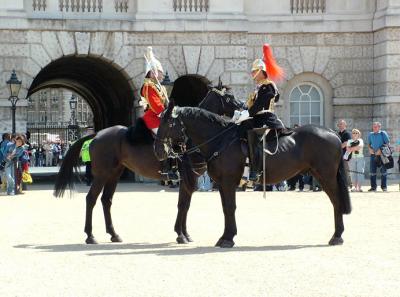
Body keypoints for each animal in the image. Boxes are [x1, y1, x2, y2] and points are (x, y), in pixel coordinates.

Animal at [53, 75, 244, 244]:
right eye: (229, 96)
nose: (242, 105)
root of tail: (98, 134)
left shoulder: (190, 179)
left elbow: (185, 204)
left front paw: (184, 234)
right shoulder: (188, 176)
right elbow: (183, 205)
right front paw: (181, 235)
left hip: (114, 174)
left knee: (106, 200)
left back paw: (114, 234)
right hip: (101, 174)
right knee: (91, 199)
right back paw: (90, 236)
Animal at [155, 102, 352, 247]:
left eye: (168, 123)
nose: (158, 151)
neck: (220, 140)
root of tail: (332, 132)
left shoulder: (228, 181)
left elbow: (229, 208)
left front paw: (228, 238)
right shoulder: (221, 183)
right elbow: (224, 208)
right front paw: (225, 236)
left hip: (326, 176)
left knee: (336, 201)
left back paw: (337, 236)